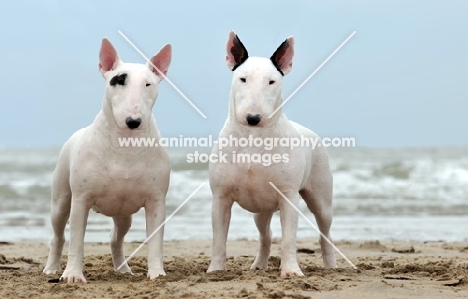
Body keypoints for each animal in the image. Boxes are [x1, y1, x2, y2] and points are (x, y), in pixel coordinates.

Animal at [42, 38, 172, 284]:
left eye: (148, 84)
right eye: (118, 81)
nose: (133, 121)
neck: (125, 144)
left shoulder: (156, 201)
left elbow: (155, 241)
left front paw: (157, 273)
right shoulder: (81, 200)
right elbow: (76, 241)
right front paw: (73, 275)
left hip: (123, 214)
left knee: (115, 238)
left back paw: (122, 269)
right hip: (61, 200)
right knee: (58, 235)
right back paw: (52, 269)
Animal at [208, 31, 336, 278]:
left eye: (272, 81)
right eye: (242, 79)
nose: (253, 118)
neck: (252, 139)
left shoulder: (288, 197)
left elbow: (288, 240)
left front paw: (291, 271)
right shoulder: (220, 197)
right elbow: (219, 239)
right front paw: (216, 269)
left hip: (321, 199)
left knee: (325, 233)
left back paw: (331, 265)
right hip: (261, 211)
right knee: (265, 236)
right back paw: (259, 264)